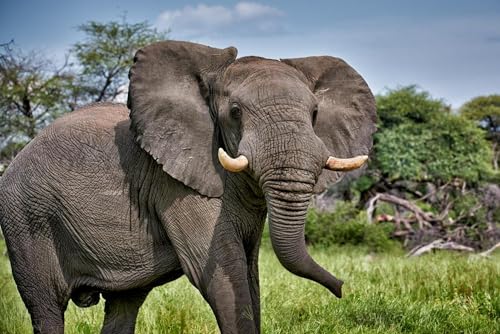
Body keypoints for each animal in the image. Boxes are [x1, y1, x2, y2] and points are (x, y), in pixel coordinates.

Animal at [0, 40, 376, 332]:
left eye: (314, 114)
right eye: (235, 112)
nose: (342, 288)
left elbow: (249, 272)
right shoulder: (176, 186)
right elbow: (223, 273)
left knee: (124, 305)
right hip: (26, 219)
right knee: (47, 307)